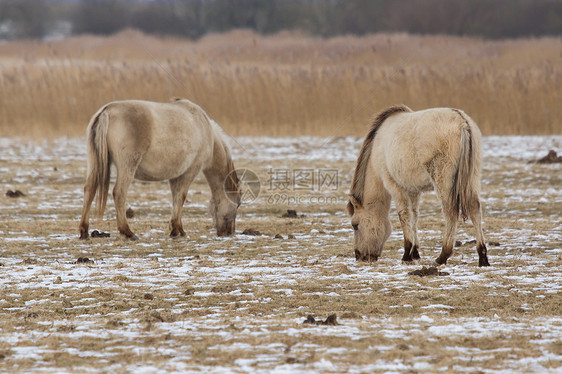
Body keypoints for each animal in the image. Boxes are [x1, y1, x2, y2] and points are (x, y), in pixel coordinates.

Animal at [77, 98, 240, 241]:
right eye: (238, 204)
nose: (229, 232)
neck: (206, 131)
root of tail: (107, 111)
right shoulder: (190, 171)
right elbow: (181, 197)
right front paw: (176, 230)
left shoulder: (176, 176)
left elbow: (176, 199)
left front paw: (178, 229)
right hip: (127, 166)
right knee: (119, 193)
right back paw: (128, 232)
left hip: (94, 163)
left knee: (89, 189)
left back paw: (84, 231)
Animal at [348, 105, 488, 268]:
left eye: (355, 225)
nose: (359, 256)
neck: (378, 146)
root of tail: (462, 121)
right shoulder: (413, 191)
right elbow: (414, 217)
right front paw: (415, 253)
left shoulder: (395, 187)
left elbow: (404, 216)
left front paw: (406, 254)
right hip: (472, 179)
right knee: (475, 209)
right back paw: (482, 257)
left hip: (443, 181)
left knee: (450, 213)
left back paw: (443, 256)